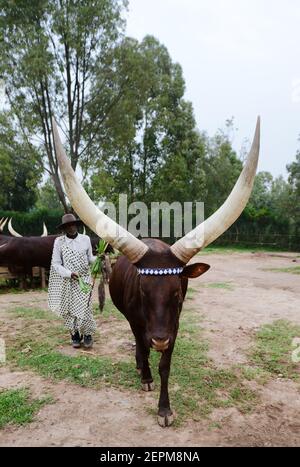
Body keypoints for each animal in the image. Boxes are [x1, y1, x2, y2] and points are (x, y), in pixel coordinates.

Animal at [52, 118, 260, 428]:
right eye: (142, 291)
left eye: (177, 292)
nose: (159, 338)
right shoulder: (140, 322)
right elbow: (145, 348)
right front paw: (147, 376)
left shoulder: (175, 327)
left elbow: (166, 365)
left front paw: (164, 409)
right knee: (140, 345)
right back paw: (141, 366)